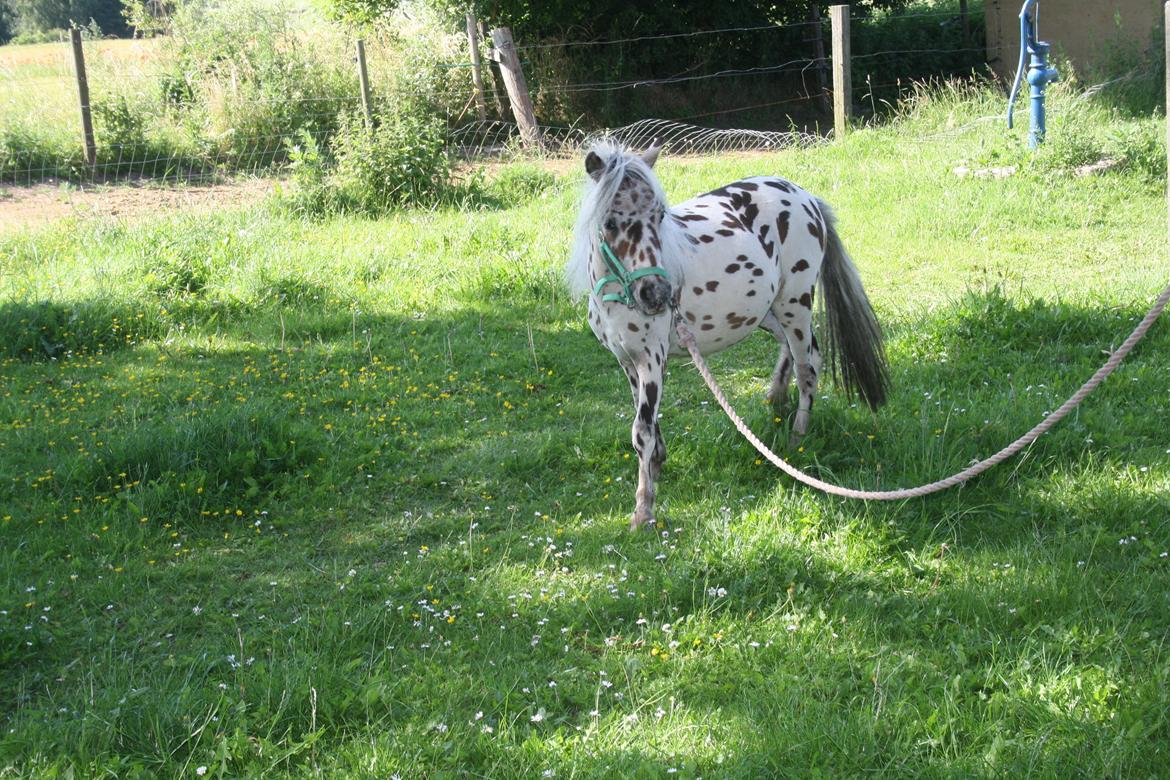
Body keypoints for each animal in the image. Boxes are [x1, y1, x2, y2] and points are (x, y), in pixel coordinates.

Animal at [566, 140, 884, 530]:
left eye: (659, 216)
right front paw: (657, 466)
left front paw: (643, 510)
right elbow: (649, 422)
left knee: (808, 366)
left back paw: (796, 438)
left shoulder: (651, 360)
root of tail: (806, 197)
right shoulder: (628, 362)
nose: (657, 293)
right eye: (610, 222)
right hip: (765, 311)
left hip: (795, 303)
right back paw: (775, 399)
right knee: (793, 351)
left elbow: (641, 430)